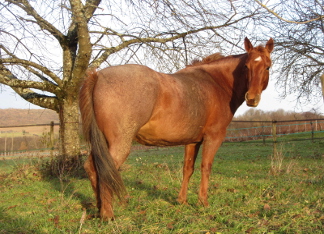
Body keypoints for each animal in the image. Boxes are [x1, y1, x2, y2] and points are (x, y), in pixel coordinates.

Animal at [78, 37, 274, 220]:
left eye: (267, 67)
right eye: (247, 66)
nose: (252, 98)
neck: (217, 84)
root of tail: (98, 76)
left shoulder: (193, 141)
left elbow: (188, 169)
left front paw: (182, 201)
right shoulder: (214, 136)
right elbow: (206, 167)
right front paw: (203, 202)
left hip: (102, 142)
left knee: (92, 168)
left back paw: (99, 208)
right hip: (120, 143)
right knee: (105, 171)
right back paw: (108, 215)